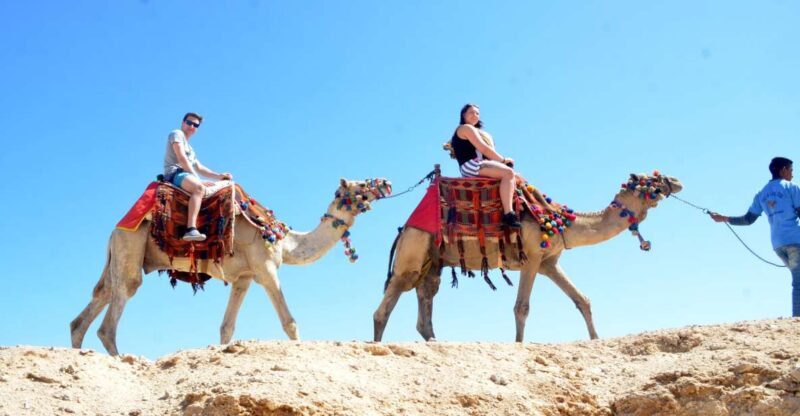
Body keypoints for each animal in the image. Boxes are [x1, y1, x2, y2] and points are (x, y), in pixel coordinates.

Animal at [71, 178, 391, 356]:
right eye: (362, 184)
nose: (387, 182)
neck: (283, 240)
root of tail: (115, 229)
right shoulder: (265, 269)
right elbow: (290, 322)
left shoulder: (243, 277)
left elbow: (227, 327)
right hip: (131, 243)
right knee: (118, 304)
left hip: (123, 252)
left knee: (101, 296)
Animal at [373, 172, 682, 342]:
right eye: (652, 179)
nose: (676, 181)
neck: (560, 221)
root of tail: (403, 229)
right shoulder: (531, 258)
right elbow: (521, 307)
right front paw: (519, 344)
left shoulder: (549, 263)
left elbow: (582, 300)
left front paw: (596, 339)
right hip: (414, 251)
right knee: (386, 304)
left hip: (432, 261)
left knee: (425, 298)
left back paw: (437, 340)